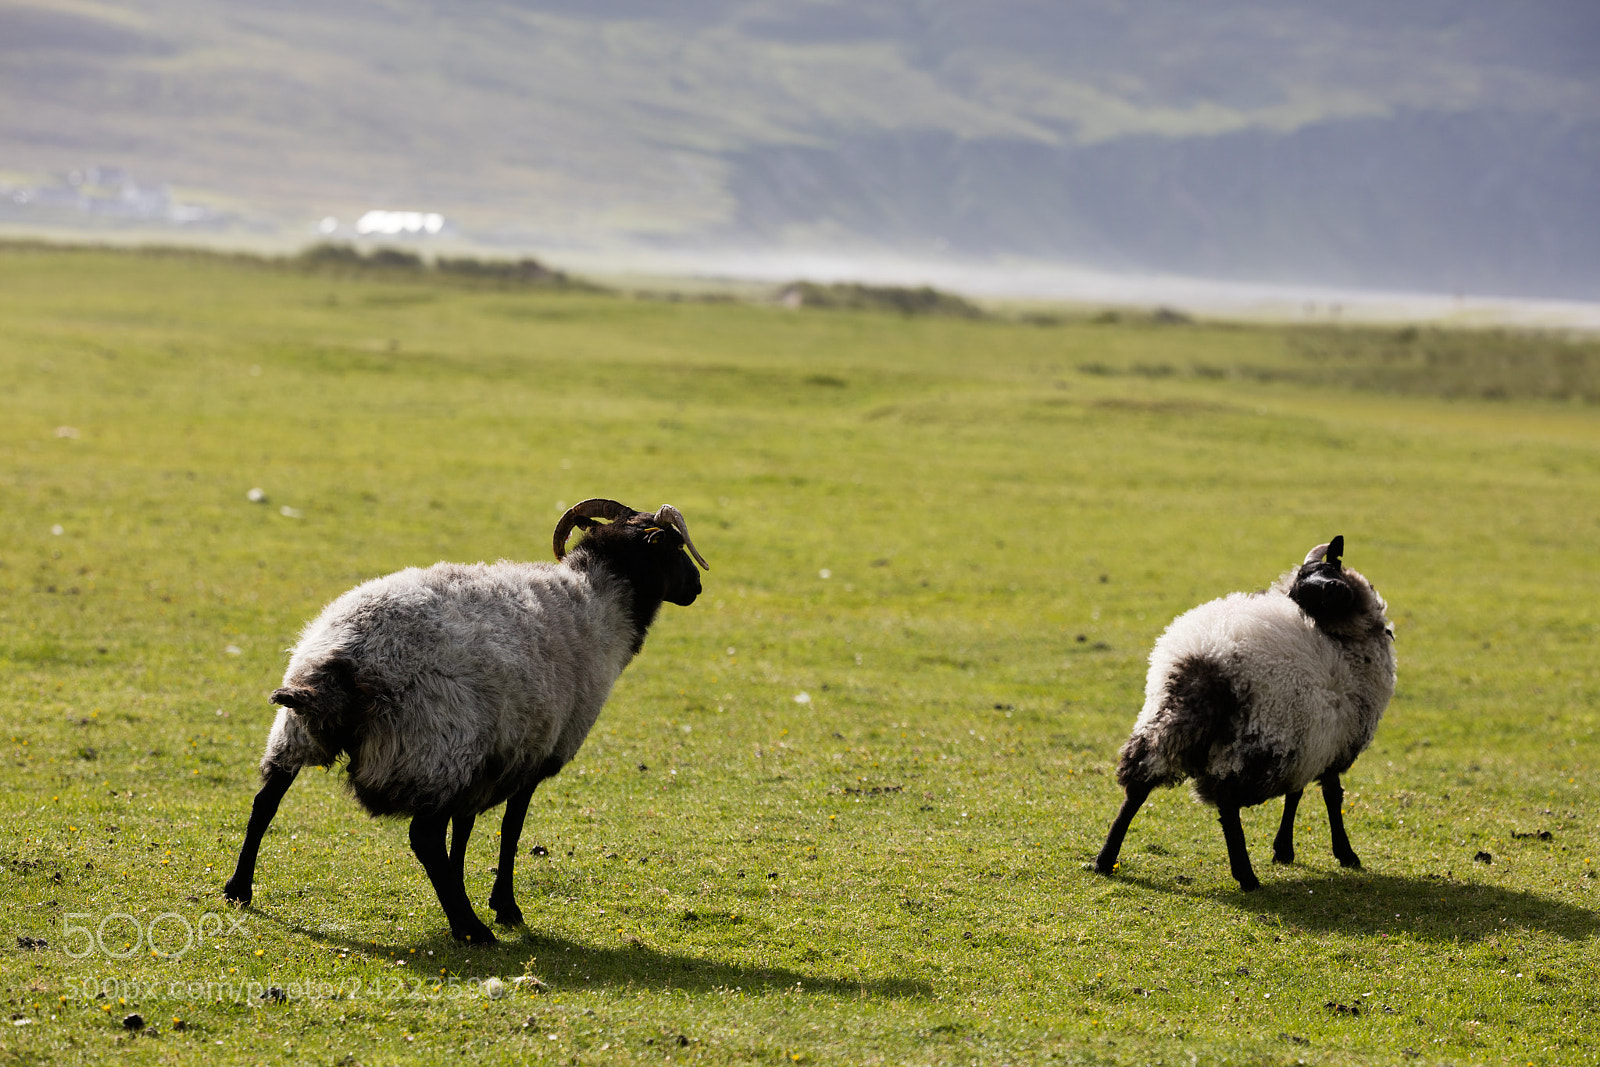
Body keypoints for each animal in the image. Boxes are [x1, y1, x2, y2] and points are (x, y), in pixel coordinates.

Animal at [222, 498, 709, 943]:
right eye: (672, 545)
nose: (698, 586)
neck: (600, 600)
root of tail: (347, 656)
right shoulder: (534, 750)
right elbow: (510, 832)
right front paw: (504, 908)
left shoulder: (487, 760)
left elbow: (465, 830)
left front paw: (464, 889)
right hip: (433, 746)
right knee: (423, 837)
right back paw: (470, 928)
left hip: (298, 733)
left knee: (265, 803)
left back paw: (238, 890)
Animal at [1093, 536, 1395, 891]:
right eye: (1304, 588)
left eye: (1329, 567)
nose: (1333, 587)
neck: (1344, 637)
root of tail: (1202, 663)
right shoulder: (1330, 740)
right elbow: (1330, 797)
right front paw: (1345, 854)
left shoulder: (1310, 738)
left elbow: (1296, 793)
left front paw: (1284, 850)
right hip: (1255, 737)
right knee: (1226, 802)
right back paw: (1246, 875)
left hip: (1161, 725)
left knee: (1139, 786)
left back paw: (1105, 858)